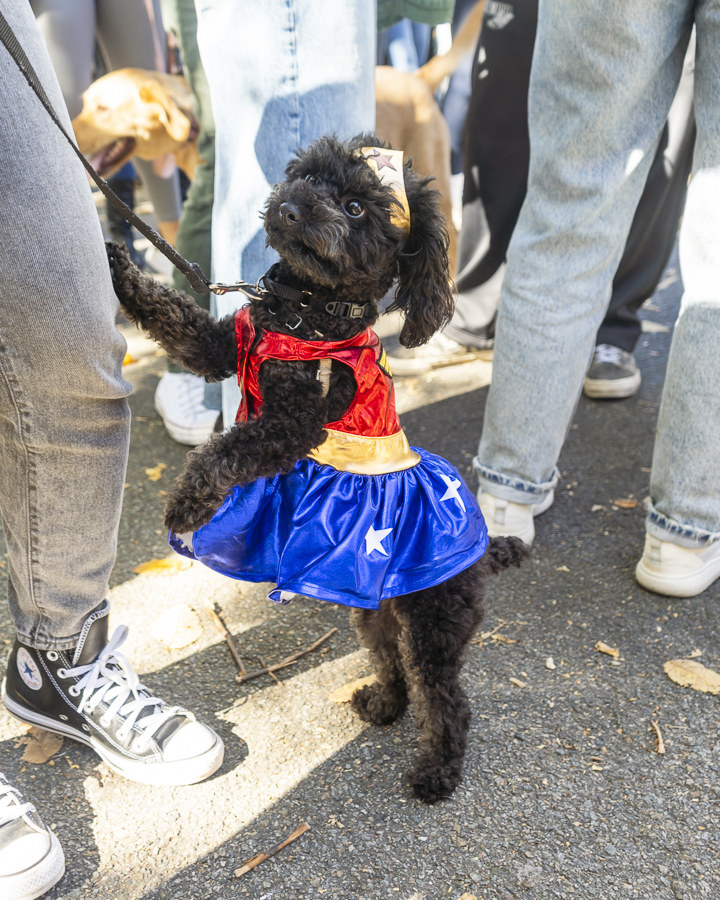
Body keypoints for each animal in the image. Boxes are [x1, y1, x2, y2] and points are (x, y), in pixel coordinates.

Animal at [111, 134, 528, 800]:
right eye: (308, 174)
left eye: (357, 208)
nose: (290, 207)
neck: (305, 312)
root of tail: (481, 550)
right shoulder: (220, 347)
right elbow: (172, 315)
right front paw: (117, 265)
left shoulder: (296, 424)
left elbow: (223, 452)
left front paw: (186, 503)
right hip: (375, 609)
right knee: (393, 662)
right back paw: (383, 704)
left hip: (437, 618)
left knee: (446, 696)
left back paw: (436, 772)